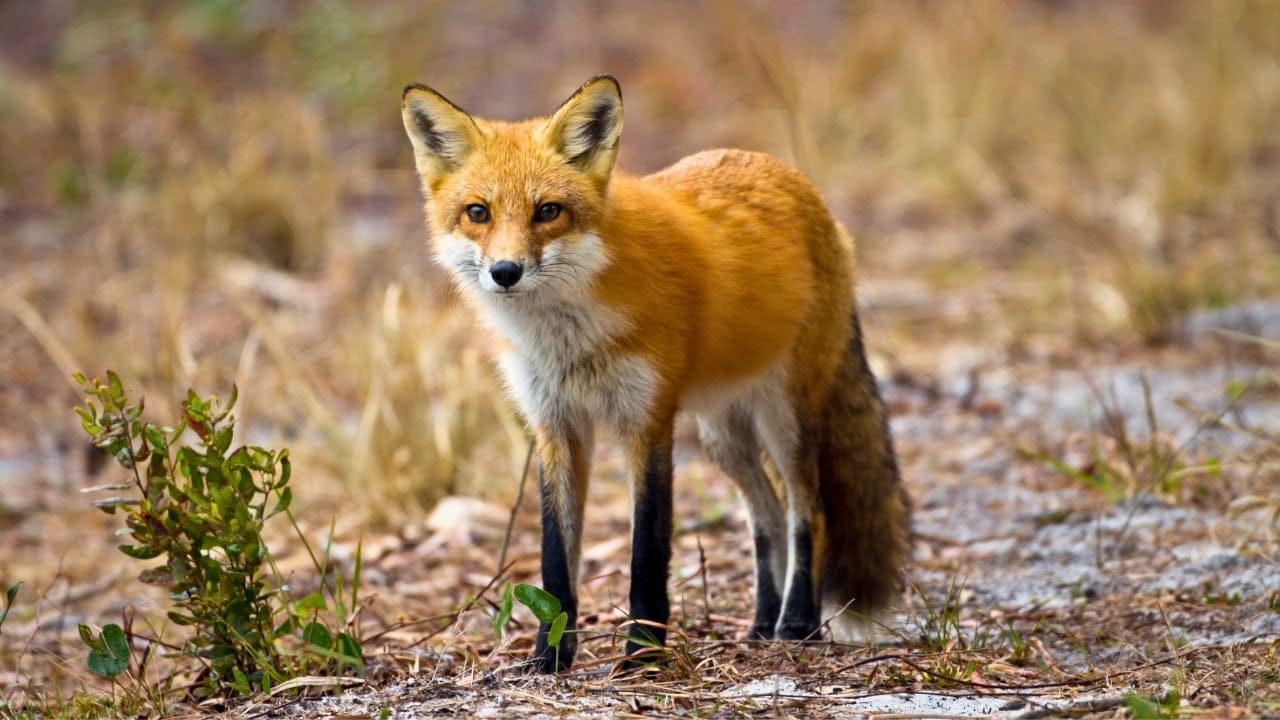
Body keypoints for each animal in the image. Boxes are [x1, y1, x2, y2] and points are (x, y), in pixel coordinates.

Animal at [401, 75, 910, 673]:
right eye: (478, 213)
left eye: (548, 211)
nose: (505, 272)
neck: (567, 337)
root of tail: (798, 183)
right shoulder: (556, 427)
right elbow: (555, 562)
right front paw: (551, 656)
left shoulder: (648, 421)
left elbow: (647, 554)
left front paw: (643, 654)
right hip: (724, 436)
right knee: (767, 516)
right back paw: (762, 624)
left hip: (784, 418)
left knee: (808, 511)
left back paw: (798, 624)